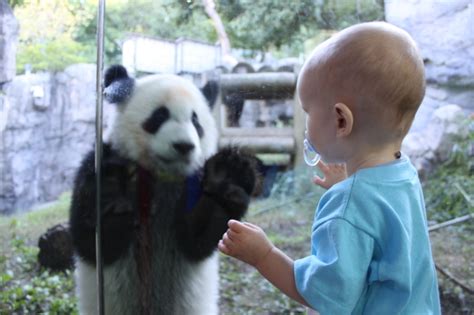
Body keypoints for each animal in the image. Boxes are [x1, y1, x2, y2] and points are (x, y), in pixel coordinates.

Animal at [68, 65, 258, 314]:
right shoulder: (104, 159)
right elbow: (92, 240)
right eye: (159, 116)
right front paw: (113, 191)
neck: (162, 175)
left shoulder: (190, 183)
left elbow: (197, 237)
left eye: (196, 122)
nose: (183, 146)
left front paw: (225, 178)